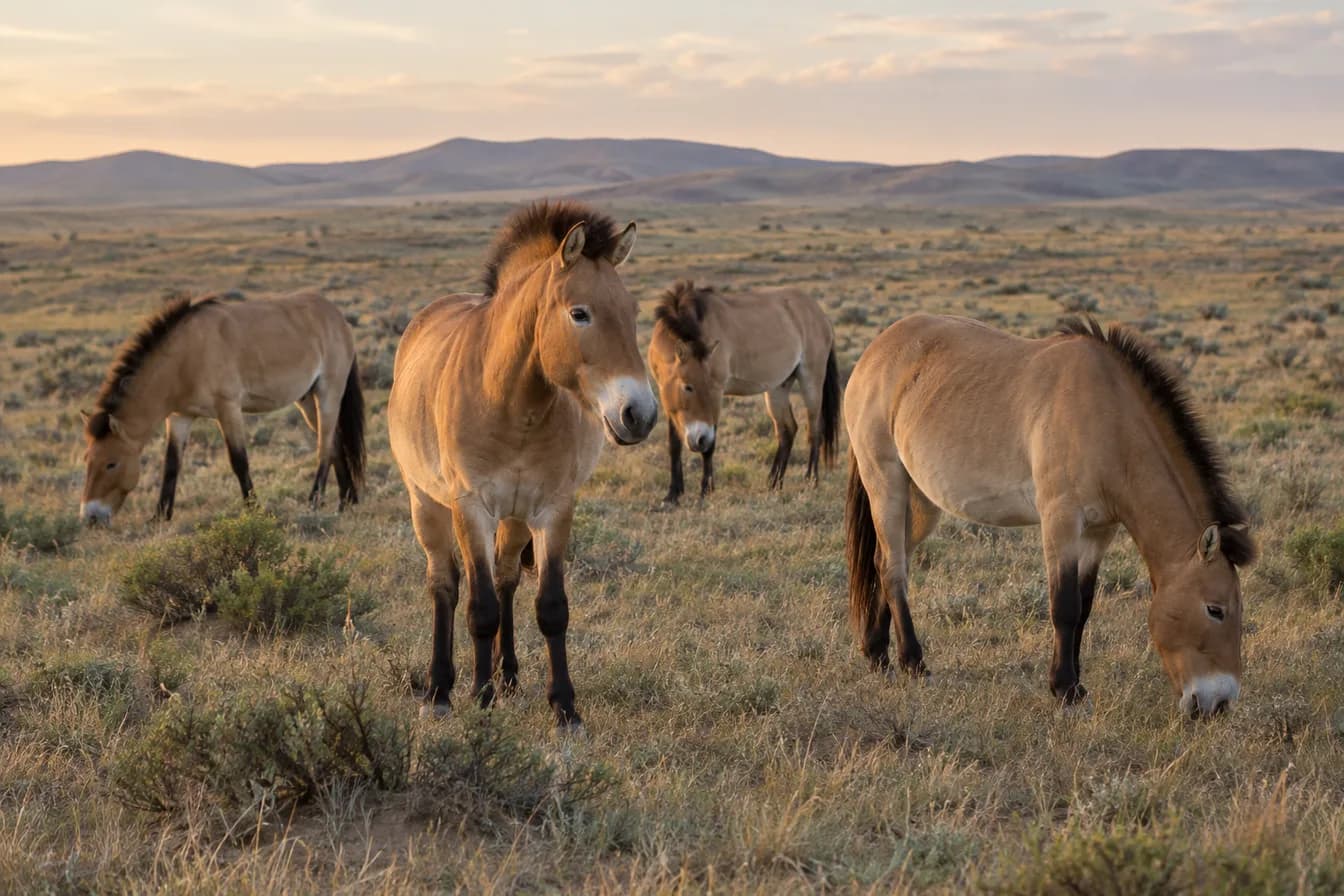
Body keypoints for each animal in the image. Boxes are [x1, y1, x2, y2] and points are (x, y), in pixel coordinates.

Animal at [80, 290, 364, 524]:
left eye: (111, 464)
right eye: (87, 460)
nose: (90, 516)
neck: (186, 355)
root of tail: (338, 317)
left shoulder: (227, 409)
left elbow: (239, 461)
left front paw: (254, 510)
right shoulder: (180, 417)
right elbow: (171, 464)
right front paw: (160, 516)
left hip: (328, 393)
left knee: (324, 447)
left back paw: (315, 501)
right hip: (306, 400)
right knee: (335, 442)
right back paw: (347, 500)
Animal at [388, 200, 656, 727]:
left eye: (633, 312)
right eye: (579, 313)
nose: (640, 413)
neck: (511, 400)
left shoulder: (553, 508)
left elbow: (549, 607)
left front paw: (565, 707)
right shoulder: (470, 507)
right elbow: (479, 607)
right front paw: (480, 697)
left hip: (513, 518)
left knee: (506, 578)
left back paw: (507, 674)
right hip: (426, 504)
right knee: (445, 585)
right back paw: (441, 688)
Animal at [647, 281, 840, 504]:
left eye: (711, 386)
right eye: (688, 387)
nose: (700, 439)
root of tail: (820, 314)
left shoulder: (718, 396)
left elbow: (710, 447)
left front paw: (705, 490)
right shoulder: (669, 401)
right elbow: (674, 444)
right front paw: (673, 494)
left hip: (811, 380)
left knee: (814, 429)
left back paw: (810, 481)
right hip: (778, 388)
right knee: (787, 430)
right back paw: (773, 483)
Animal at [844, 314, 1256, 718]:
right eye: (1215, 609)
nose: (1219, 704)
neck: (1108, 418)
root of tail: (875, 351)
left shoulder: (1099, 531)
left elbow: (1085, 605)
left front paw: (1078, 685)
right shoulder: (1061, 521)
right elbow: (1065, 606)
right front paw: (1064, 688)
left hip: (921, 504)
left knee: (884, 560)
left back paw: (877, 653)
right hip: (886, 483)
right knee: (893, 569)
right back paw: (913, 663)